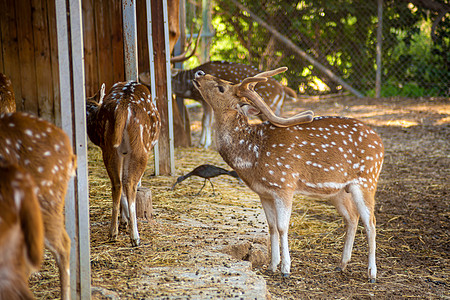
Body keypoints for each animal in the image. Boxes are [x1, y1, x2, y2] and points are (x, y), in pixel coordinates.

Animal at [85, 81, 160, 246]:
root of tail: (123, 108)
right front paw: (126, 221)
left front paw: (123, 221)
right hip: (140, 148)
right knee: (129, 184)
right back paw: (135, 237)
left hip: (110, 148)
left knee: (117, 184)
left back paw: (113, 232)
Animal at [192, 67, 384, 282]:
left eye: (221, 87)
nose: (199, 72)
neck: (252, 154)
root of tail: (380, 143)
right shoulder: (264, 193)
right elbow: (272, 227)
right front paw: (272, 266)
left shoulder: (284, 185)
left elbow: (283, 227)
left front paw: (285, 269)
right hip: (339, 191)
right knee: (352, 218)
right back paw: (341, 265)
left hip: (367, 181)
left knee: (371, 222)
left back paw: (372, 273)